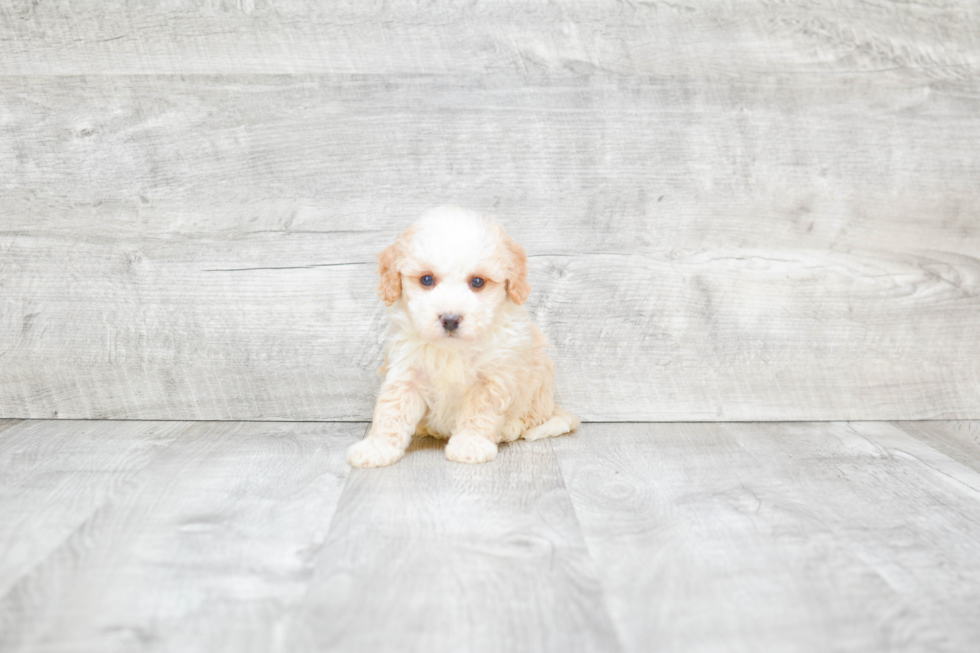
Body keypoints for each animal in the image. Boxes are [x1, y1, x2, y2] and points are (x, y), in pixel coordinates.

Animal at [348, 206, 580, 466]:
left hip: (539, 384)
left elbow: (479, 414)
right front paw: (378, 447)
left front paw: (470, 444)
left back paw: (509, 427)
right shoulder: (406, 371)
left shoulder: (491, 379)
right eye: (426, 279)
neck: (452, 349)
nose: (450, 319)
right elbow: (392, 410)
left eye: (477, 281)